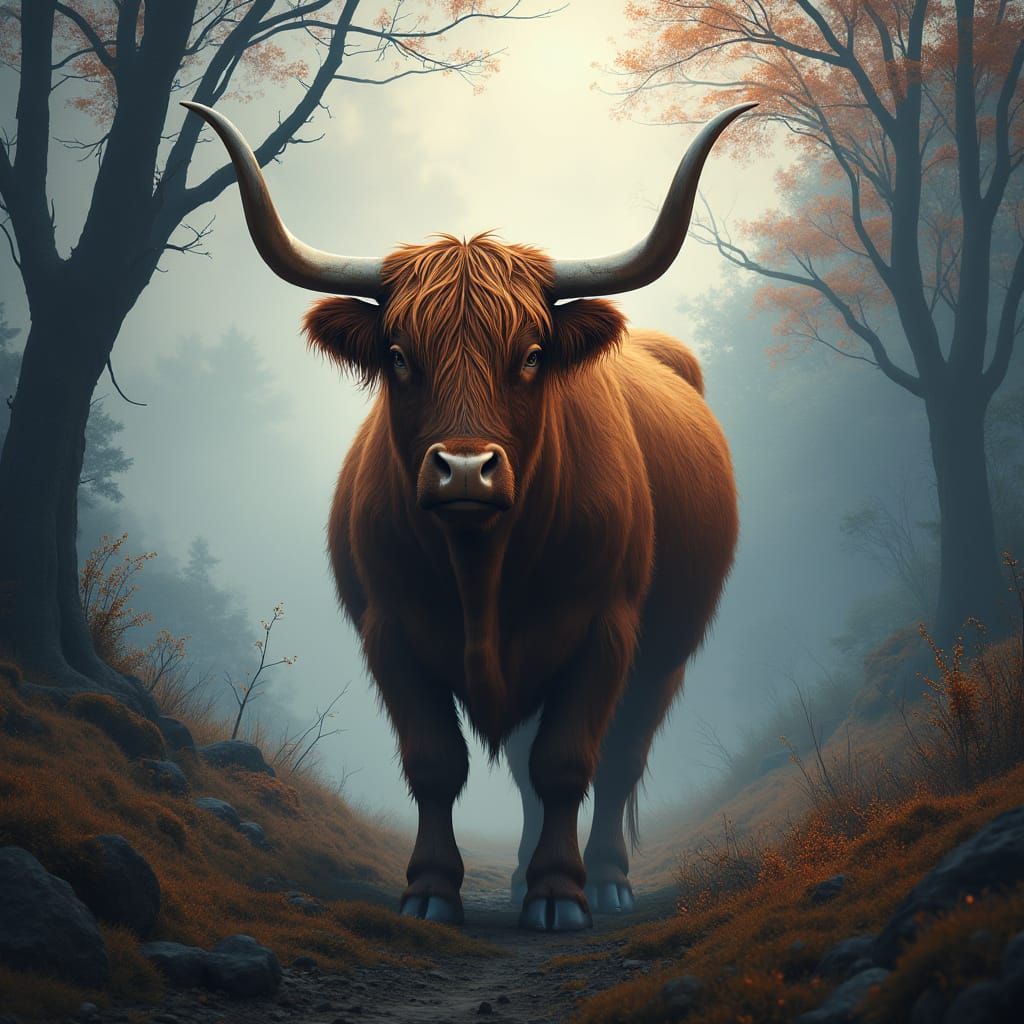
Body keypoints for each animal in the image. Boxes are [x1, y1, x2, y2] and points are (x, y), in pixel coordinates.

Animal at [184, 100, 750, 931]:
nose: (463, 468)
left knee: (620, 761)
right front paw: (431, 890)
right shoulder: (389, 631)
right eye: (397, 353)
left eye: (533, 353)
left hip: (666, 654)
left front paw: (560, 895)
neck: (481, 568)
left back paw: (608, 880)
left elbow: (569, 762)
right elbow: (436, 763)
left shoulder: (607, 631)